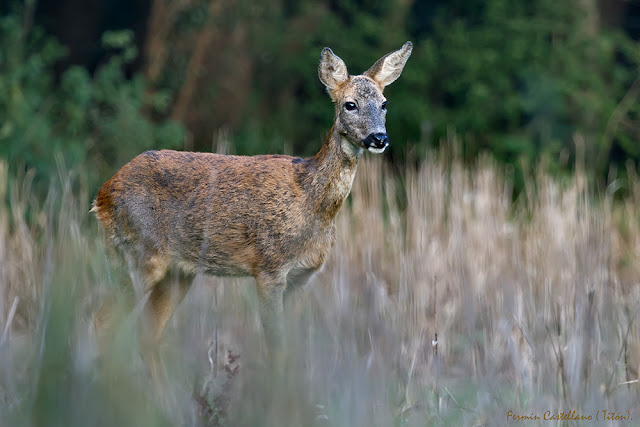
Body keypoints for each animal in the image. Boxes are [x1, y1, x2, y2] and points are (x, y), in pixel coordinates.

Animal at [91, 41, 416, 362]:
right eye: (350, 104)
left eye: (384, 103)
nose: (379, 138)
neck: (312, 202)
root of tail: (102, 194)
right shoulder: (269, 267)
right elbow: (275, 349)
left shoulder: (300, 277)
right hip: (137, 253)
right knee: (102, 320)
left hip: (177, 270)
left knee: (147, 333)